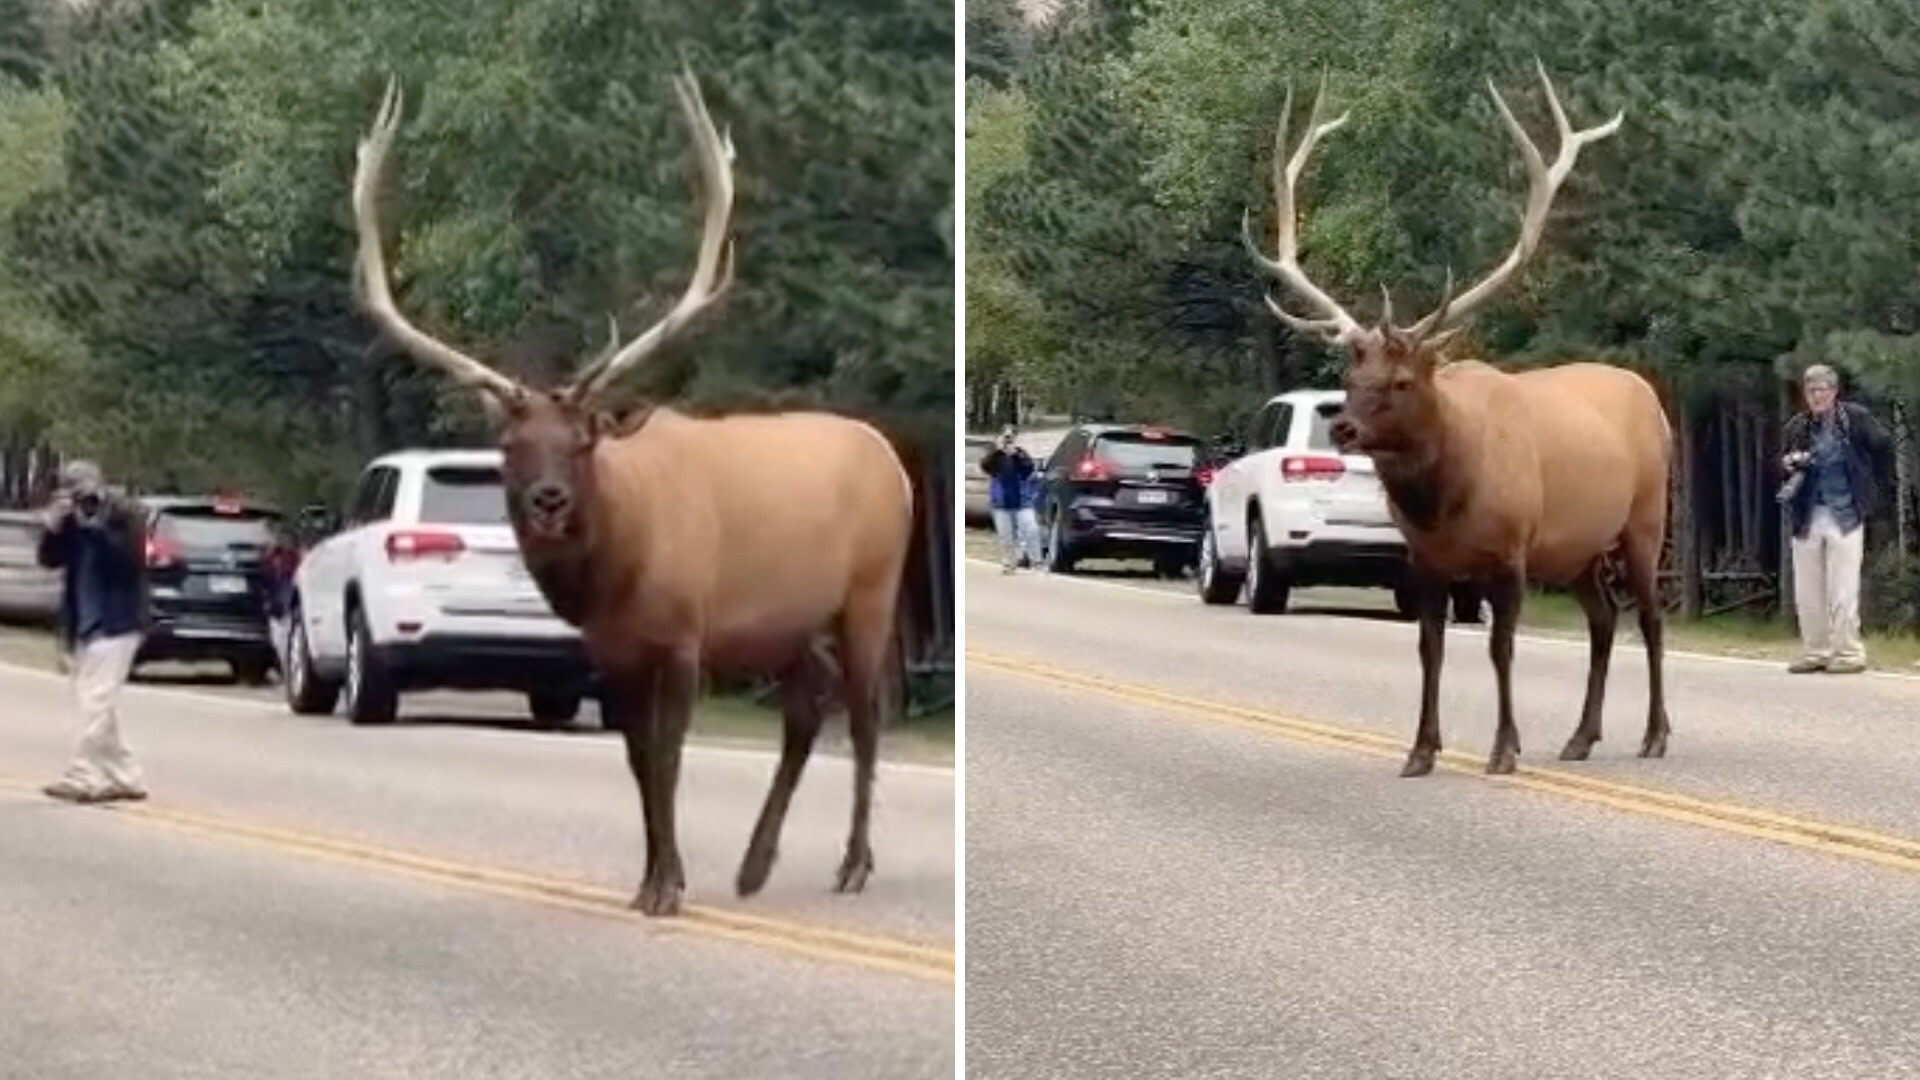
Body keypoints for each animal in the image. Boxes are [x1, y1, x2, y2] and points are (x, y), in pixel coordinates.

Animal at [355, 67, 921, 910]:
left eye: (583, 440)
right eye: (512, 445)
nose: (548, 501)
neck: (623, 568)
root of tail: (893, 461)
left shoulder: (684, 634)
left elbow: (670, 757)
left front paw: (667, 886)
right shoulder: (612, 651)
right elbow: (637, 760)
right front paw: (655, 878)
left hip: (870, 593)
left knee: (865, 713)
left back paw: (852, 865)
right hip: (789, 625)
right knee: (806, 709)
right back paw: (754, 867)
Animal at [1244, 61, 1666, 772]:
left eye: (1402, 379)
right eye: (1350, 378)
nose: (1343, 428)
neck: (1447, 500)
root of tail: (1652, 395)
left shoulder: (1512, 552)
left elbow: (1501, 649)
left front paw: (1503, 749)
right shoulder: (1427, 561)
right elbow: (1430, 648)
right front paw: (1421, 750)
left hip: (1644, 521)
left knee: (1651, 618)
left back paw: (1656, 735)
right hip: (1578, 550)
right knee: (1605, 619)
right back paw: (1580, 737)